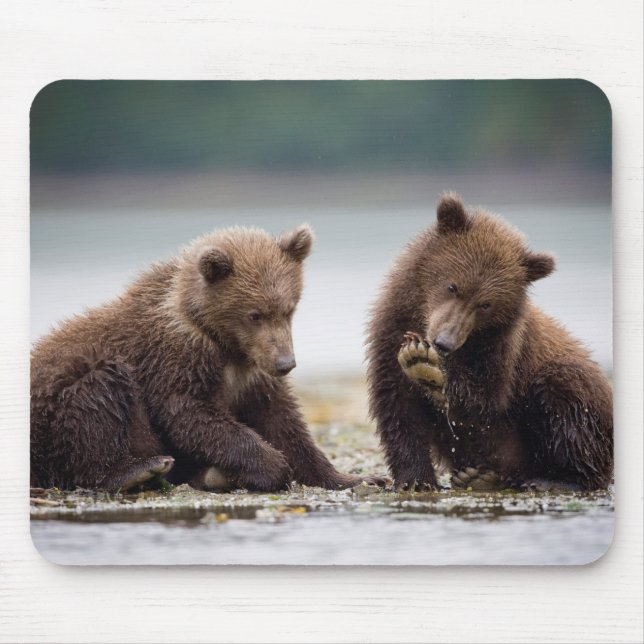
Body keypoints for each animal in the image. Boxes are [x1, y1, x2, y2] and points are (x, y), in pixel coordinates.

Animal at [31, 224, 384, 492]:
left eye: (289, 309)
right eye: (254, 314)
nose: (286, 364)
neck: (226, 346)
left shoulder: (253, 373)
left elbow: (284, 422)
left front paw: (358, 477)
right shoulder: (176, 359)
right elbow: (191, 413)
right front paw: (273, 466)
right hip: (57, 404)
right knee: (99, 392)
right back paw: (138, 470)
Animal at [366, 193, 613, 492]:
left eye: (485, 304)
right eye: (452, 286)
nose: (444, 342)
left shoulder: (502, 348)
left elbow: (483, 403)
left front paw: (427, 368)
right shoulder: (390, 330)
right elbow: (398, 406)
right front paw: (415, 480)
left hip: (575, 390)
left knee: (567, 406)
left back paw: (557, 479)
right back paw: (479, 476)